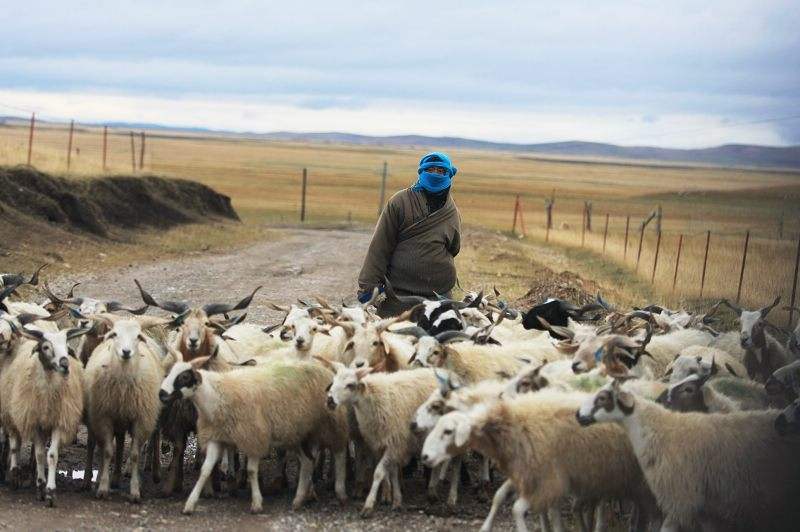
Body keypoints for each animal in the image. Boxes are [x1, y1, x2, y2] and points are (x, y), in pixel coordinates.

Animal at [0, 322, 90, 504]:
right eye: (46, 347)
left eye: (67, 347)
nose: (65, 364)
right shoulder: (35, 423)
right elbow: (40, 454)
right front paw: (40, 486)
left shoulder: (58, 422)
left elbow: (51, 455)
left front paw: (50, 491)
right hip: (11, 412)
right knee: (14, 443)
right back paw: (14, 474)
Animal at [83, 314, 173, 500]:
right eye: (115, 334)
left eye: (137, 337)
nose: (126, 352)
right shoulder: (105, 417)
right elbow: (108, 451)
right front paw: (103, 487)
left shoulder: (141, 419)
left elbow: (134, 454)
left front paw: (135, 490)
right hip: (119, 417)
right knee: (119, 442)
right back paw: (115, 478)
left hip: (151, 411)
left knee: (155, 435)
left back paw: (155, 472)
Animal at [161, 356, 348, 512]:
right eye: (169, 372)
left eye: (184, 377)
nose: (161, 394)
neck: (217, 395)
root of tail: (324, 370)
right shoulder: (217, 437)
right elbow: (205, 470)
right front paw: (190, 504)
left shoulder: (253, 437)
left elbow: (251, 471)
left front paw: (257, 503)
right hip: (297, 433)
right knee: (308, 462)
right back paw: (299, 500)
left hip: (328, 424)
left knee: (339, 452)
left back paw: (340, 492)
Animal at [422, 386, 660, 532]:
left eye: (448, 431)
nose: (424, 456)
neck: (509, 423)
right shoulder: (526, 474)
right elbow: (499, 496)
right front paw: (485, 527)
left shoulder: (547, 480)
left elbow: (518, 508)